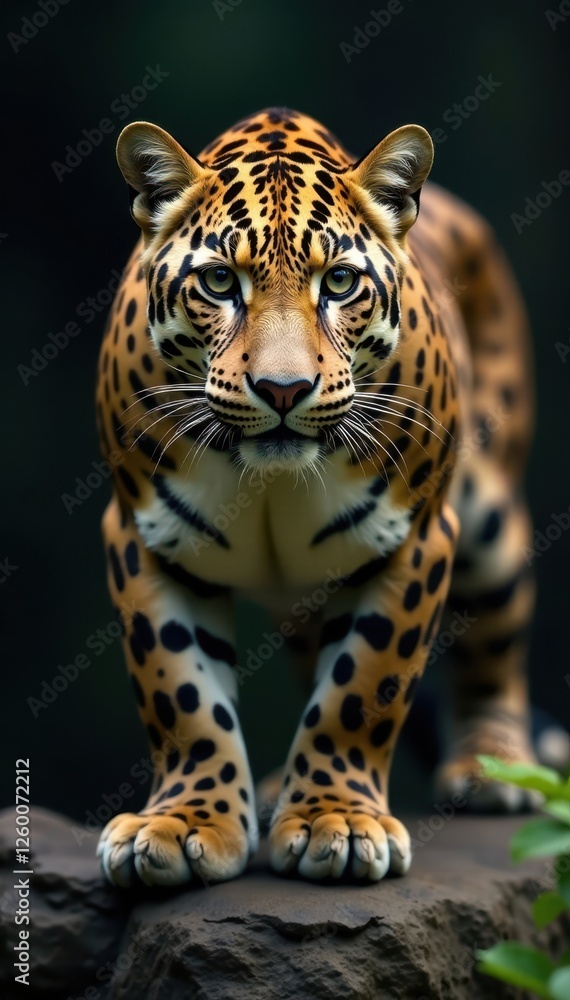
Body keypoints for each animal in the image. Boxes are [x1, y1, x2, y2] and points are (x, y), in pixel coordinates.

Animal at [95, 106, 537, 887]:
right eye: (219, 282)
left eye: (339, 282)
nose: (282, 390)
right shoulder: (141, 536)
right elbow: (180, 693)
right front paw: (184, 824)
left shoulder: (417, 536)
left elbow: (362, 687)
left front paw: (339, 824)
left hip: (488, 516)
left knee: (499, 627)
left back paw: (494, 768)